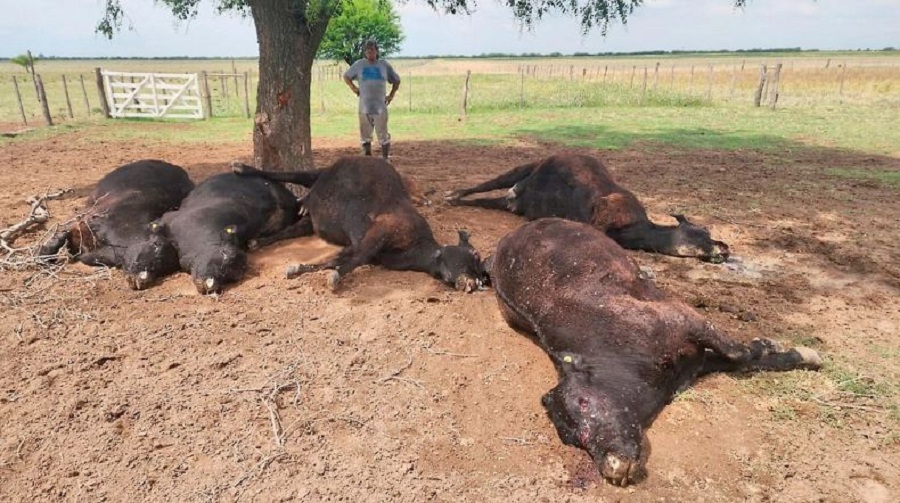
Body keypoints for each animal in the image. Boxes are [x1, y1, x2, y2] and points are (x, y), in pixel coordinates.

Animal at [38, 159, 195, 289]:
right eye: (156, 244)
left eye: (165, 267)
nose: (144, 278)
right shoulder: (82, 218)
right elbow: (59, 236)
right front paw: (42, 258)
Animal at [231, 157, 487, 292]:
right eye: (473, 254)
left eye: (484, 277)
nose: (475, 283)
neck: (416, 247)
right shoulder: (379, 233)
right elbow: (355, 259)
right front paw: (333, 277)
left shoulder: (361, 244)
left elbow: (334, 259)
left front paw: (300, 269)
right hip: (317, 174)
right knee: (293, 175)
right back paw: (241, 168)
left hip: (313, 221)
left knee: (293, 228)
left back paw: (258, 241)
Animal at [446, 154, 730, 263]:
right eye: (700, 232)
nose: (725, 249)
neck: (637, 228)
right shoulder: (601, 215)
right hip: (520, 169)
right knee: (487, 184)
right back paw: (452, 194)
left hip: (510, 204)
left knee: (487, 199)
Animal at [489, 218, 821, 486]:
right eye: (571, 438)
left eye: (582, 402)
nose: (611, 466)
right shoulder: (698, 358)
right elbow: (744, 359)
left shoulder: (684, 317)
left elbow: (742, 354)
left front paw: (797, 350)